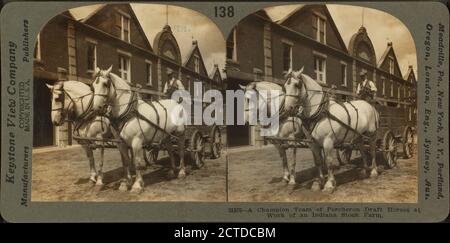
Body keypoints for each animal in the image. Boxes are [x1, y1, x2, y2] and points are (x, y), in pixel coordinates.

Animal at [91, 66, 186, 194]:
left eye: (105, 84)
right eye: (93, 86)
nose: (96, 108)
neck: (128, 111)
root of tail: (177, 102)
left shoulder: (136, 142)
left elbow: (137, 162)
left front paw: (137, 185)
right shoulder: (121, 143)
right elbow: (126, 162)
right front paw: (126, 183)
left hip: (180, 133)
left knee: (180, 150)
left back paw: (181, 172)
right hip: (166, 135)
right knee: (170, 150)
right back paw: (172, 171)